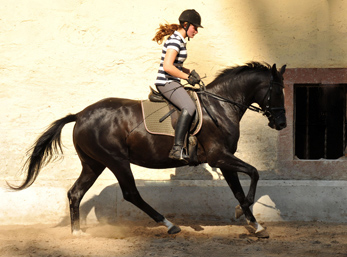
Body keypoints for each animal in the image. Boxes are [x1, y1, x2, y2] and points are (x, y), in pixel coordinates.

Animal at [9, 61, 288, 236]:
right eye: (277, 93)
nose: (282, 123)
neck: (220, 107)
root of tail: (80, 115)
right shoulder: (219, 157)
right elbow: (254, 173)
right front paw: (243, 214)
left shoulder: (225, 160)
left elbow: (239, 190)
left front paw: (256, 226)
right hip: (116, 160)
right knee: (131, 193)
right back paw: (169, 224)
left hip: (94, 163)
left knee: (75, 193)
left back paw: (77, 232)